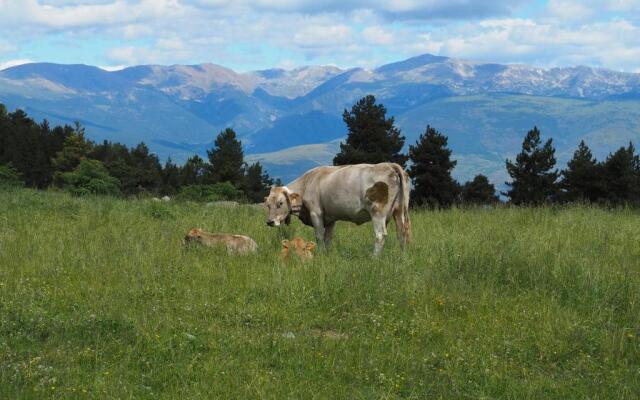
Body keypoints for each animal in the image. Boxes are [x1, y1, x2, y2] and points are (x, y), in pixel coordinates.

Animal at [264, 162, 410, 256]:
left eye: (280, 203)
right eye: (268, 204)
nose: (270, 222)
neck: (307, 183)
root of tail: (388, 165)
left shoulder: (316, 213)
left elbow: (319, 236)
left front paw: (321, 254)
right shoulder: (330, 218)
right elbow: (328, 238)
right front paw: (327, 254)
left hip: (377, 213)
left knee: (380, 235)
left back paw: (374, 258)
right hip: (399, 211)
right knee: (401, 233)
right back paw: (402, 256)